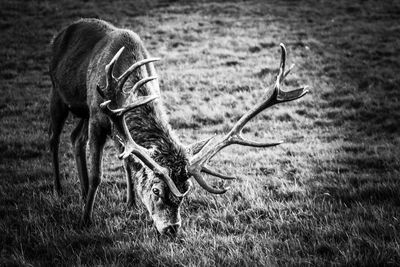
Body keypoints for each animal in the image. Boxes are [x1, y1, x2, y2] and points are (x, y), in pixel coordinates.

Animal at [48, 18, 308, 237]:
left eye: (186, 192)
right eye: (156, 191)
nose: (172, 228)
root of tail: (61, 33)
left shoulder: (116, 128)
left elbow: (128, 162)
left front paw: (130, 204)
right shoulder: (98, 117)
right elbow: (98, 175)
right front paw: (86, 220)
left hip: (80, 109)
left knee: (75, 138)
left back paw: (81, 192)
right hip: (59, 93)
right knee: (54, 138)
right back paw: (60, 190)